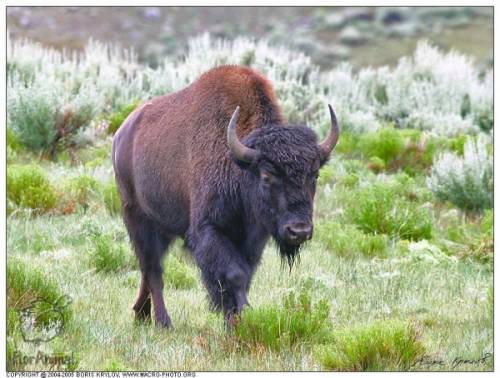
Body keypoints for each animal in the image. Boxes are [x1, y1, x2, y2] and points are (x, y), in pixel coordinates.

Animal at [112, 65, 340, 328]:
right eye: (266, 175)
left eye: (315, 175)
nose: (299, 231)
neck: (239, 165)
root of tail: (121, 134)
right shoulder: (209, 230)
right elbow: (233, 274)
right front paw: (241, 319)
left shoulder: (253, 239)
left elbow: (245, 275)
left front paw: (233, 322)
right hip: (137, 217)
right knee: (153, 270)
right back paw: (163, 323)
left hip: (162, 226)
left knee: (148, 270)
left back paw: (141, 313)